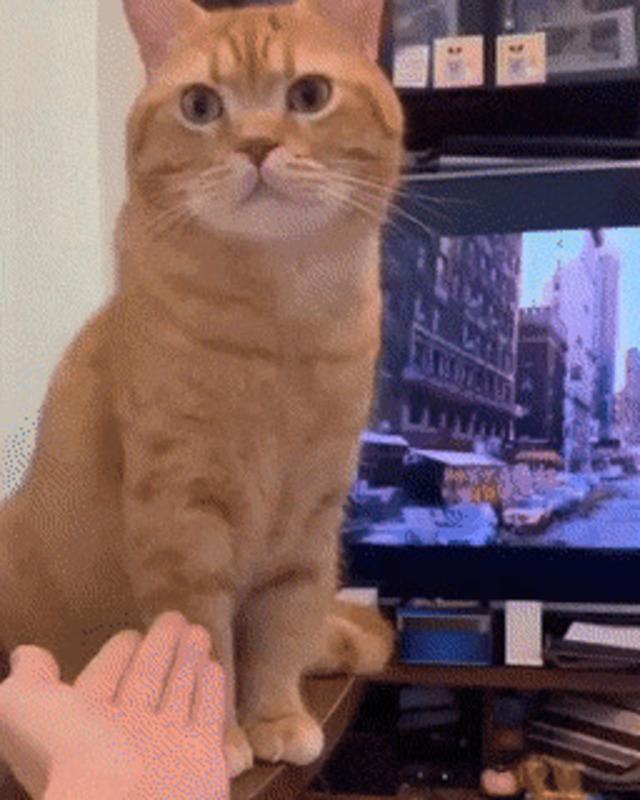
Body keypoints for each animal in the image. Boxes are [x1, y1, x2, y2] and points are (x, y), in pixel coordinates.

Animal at [0, 0, 404, 777]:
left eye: (309, 95)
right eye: (199, 106)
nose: (256, 145)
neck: (284, 323)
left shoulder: (310, 523)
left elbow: (281, 631)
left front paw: (272, 716)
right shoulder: (182, 521)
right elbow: (204, 645)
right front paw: (215, 738)